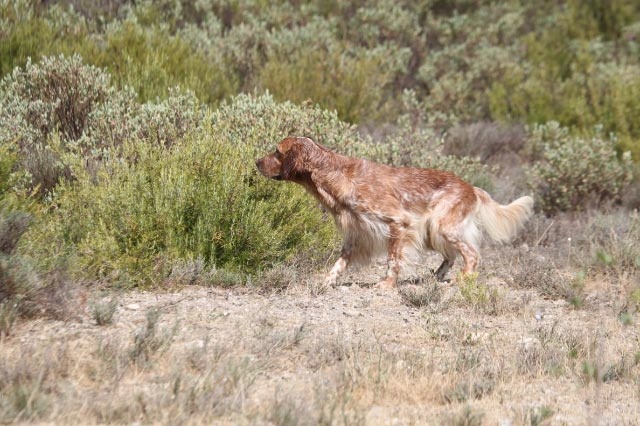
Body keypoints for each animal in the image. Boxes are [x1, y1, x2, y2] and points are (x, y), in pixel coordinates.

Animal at [258, 136, 532, 290]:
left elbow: (393, 261)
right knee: (451, 257)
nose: (256, 162)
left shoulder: (399, 224)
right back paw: (436, 278)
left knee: (471, 255)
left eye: (277, 151)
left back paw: (462, 279)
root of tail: (472, 188)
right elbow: (338, 264)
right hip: (433, 233)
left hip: (443, 227)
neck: (337, 176)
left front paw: (387, 284)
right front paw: (326, 282)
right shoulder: (355, 235)